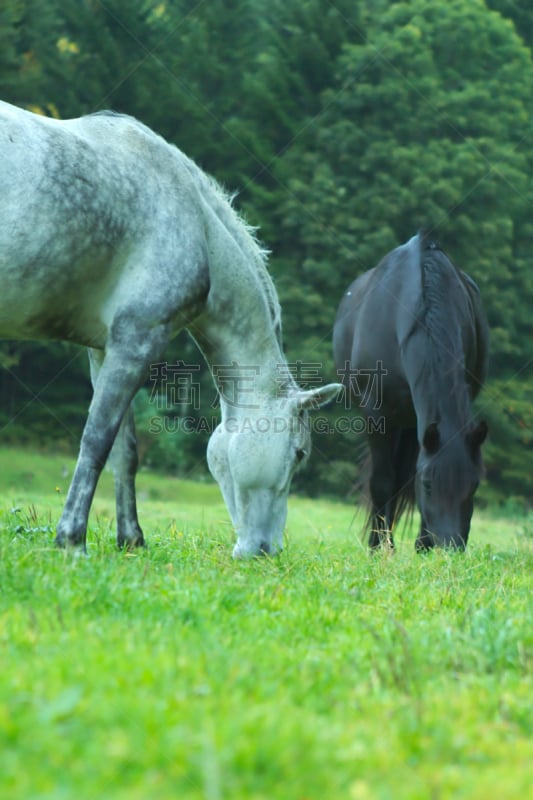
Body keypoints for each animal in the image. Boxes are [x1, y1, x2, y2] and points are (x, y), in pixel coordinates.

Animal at [1, 101, 340, 556]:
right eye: (300, 453)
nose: (267, 549)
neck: (197, 223)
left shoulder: (106, 349)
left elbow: (124, 451)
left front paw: (130, 540)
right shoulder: (138, 338)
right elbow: (97, 439)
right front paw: (72, 540)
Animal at [334, 231, 488, 552]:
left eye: (474, 484)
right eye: (428, 484)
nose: (449, 548)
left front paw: (421, 545)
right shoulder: (376, 414)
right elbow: (383, 482)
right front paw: (379, 547)